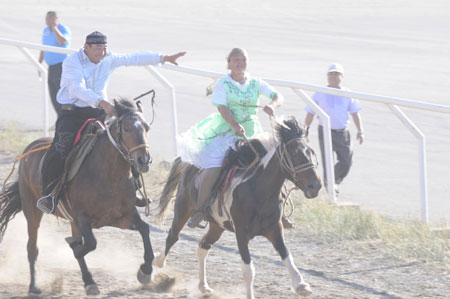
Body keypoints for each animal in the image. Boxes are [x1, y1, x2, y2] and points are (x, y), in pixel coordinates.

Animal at [0, 99, 154, 296]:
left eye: (147, 127)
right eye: (126, 128)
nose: (144, 160)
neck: (109, 175)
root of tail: (30, 148)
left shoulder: (123, 217)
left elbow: (144, 229)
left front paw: (146, 270)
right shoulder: (82, 218)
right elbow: (90, 244)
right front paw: (74, 247)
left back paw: (89, 281)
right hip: (32, 209)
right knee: (32, 248)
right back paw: (34, 286)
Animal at [154, 117, 320, 299]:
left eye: (312, 152)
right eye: (295, 154)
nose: (316, 186)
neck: (257, 191)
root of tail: (189, 163)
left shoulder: (275, 228)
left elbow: (287, 256)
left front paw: (301, 285)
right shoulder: (241, 233)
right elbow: (248, 270)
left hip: (217, 226)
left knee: (203, 247)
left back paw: (203, 286)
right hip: (183, 209)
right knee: (172, 236)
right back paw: (156, 267)